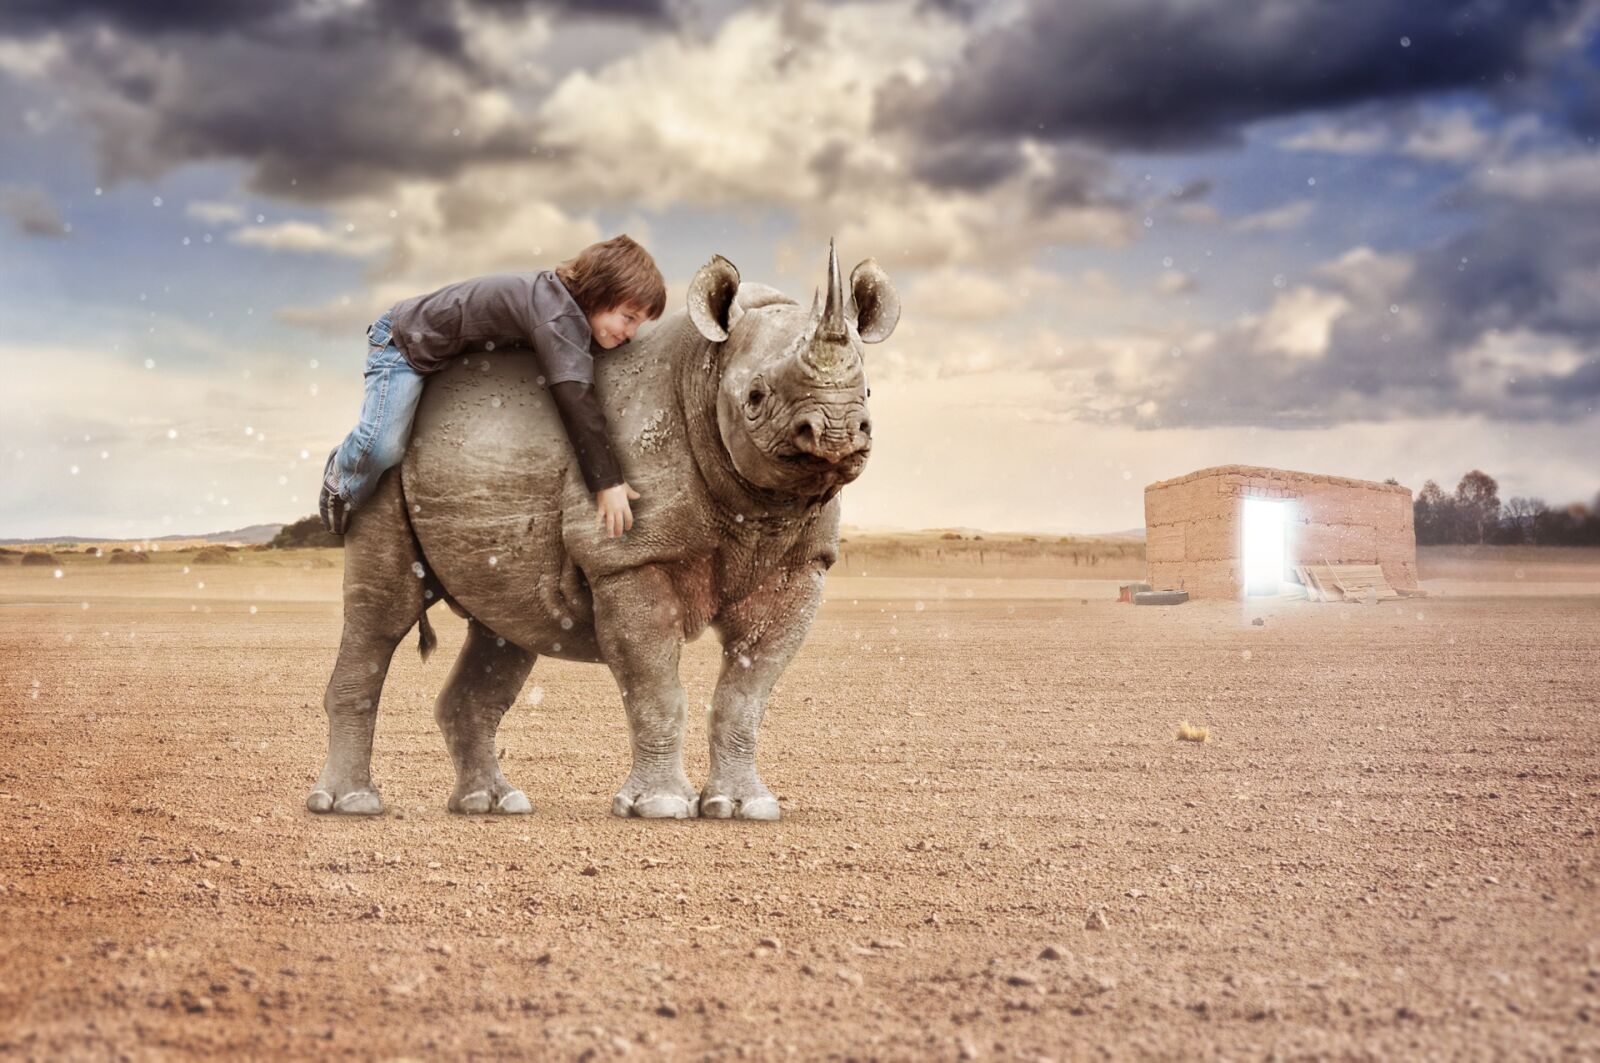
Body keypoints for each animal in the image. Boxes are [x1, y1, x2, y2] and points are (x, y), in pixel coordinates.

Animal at [306, 243, 899, 820]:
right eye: (754, 397)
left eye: (870, 393)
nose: (837, 432)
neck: (708, 370)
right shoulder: (628, 556)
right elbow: (656, 685)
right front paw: (660, 807)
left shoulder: (802, 565)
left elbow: (747, 692)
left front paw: (746, 807)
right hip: (387, 467)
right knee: (381, 615)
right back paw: (351, 805)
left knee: (506, 631)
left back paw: (492, 804)